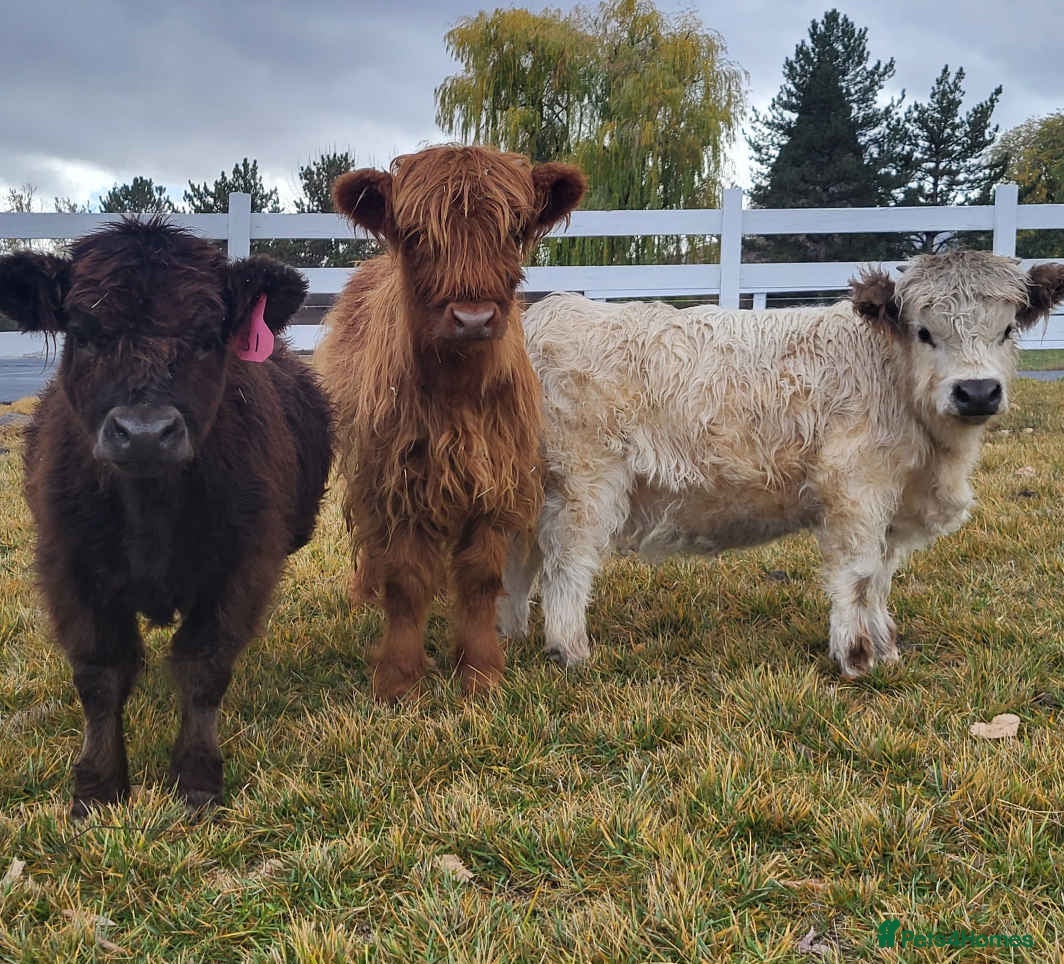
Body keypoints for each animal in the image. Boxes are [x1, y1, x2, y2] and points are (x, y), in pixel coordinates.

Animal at [0, 219, 333, 816]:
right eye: (83, 333)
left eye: (206, 337)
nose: (145, 432)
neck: (150, 514)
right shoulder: (71, 569)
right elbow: (101, 672)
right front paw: (97, 786)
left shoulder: (239, 568)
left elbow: (203, 665)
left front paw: (196, 779)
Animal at [316, 144, 586, 702]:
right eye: (417, 234)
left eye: (513, 230)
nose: (473, 318)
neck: (458, 392)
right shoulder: (395, 480)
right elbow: (404, 578)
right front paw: (399, 678)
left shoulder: (497, 481)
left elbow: (480, 578)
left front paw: (481, 672)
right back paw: (365, 591)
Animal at [498, 251, 1064, 677]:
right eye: (924, 331)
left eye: (1007, 329)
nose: (977, 391)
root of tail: (547, 313)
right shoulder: (854, 488)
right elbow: (858, 573)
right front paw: (855, 657)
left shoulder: (892, 503)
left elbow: (881, 576)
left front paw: (885, 648)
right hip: (584, 482)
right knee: (566, 562)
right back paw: (570, 649)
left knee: (520, 557)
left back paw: (512, 632)